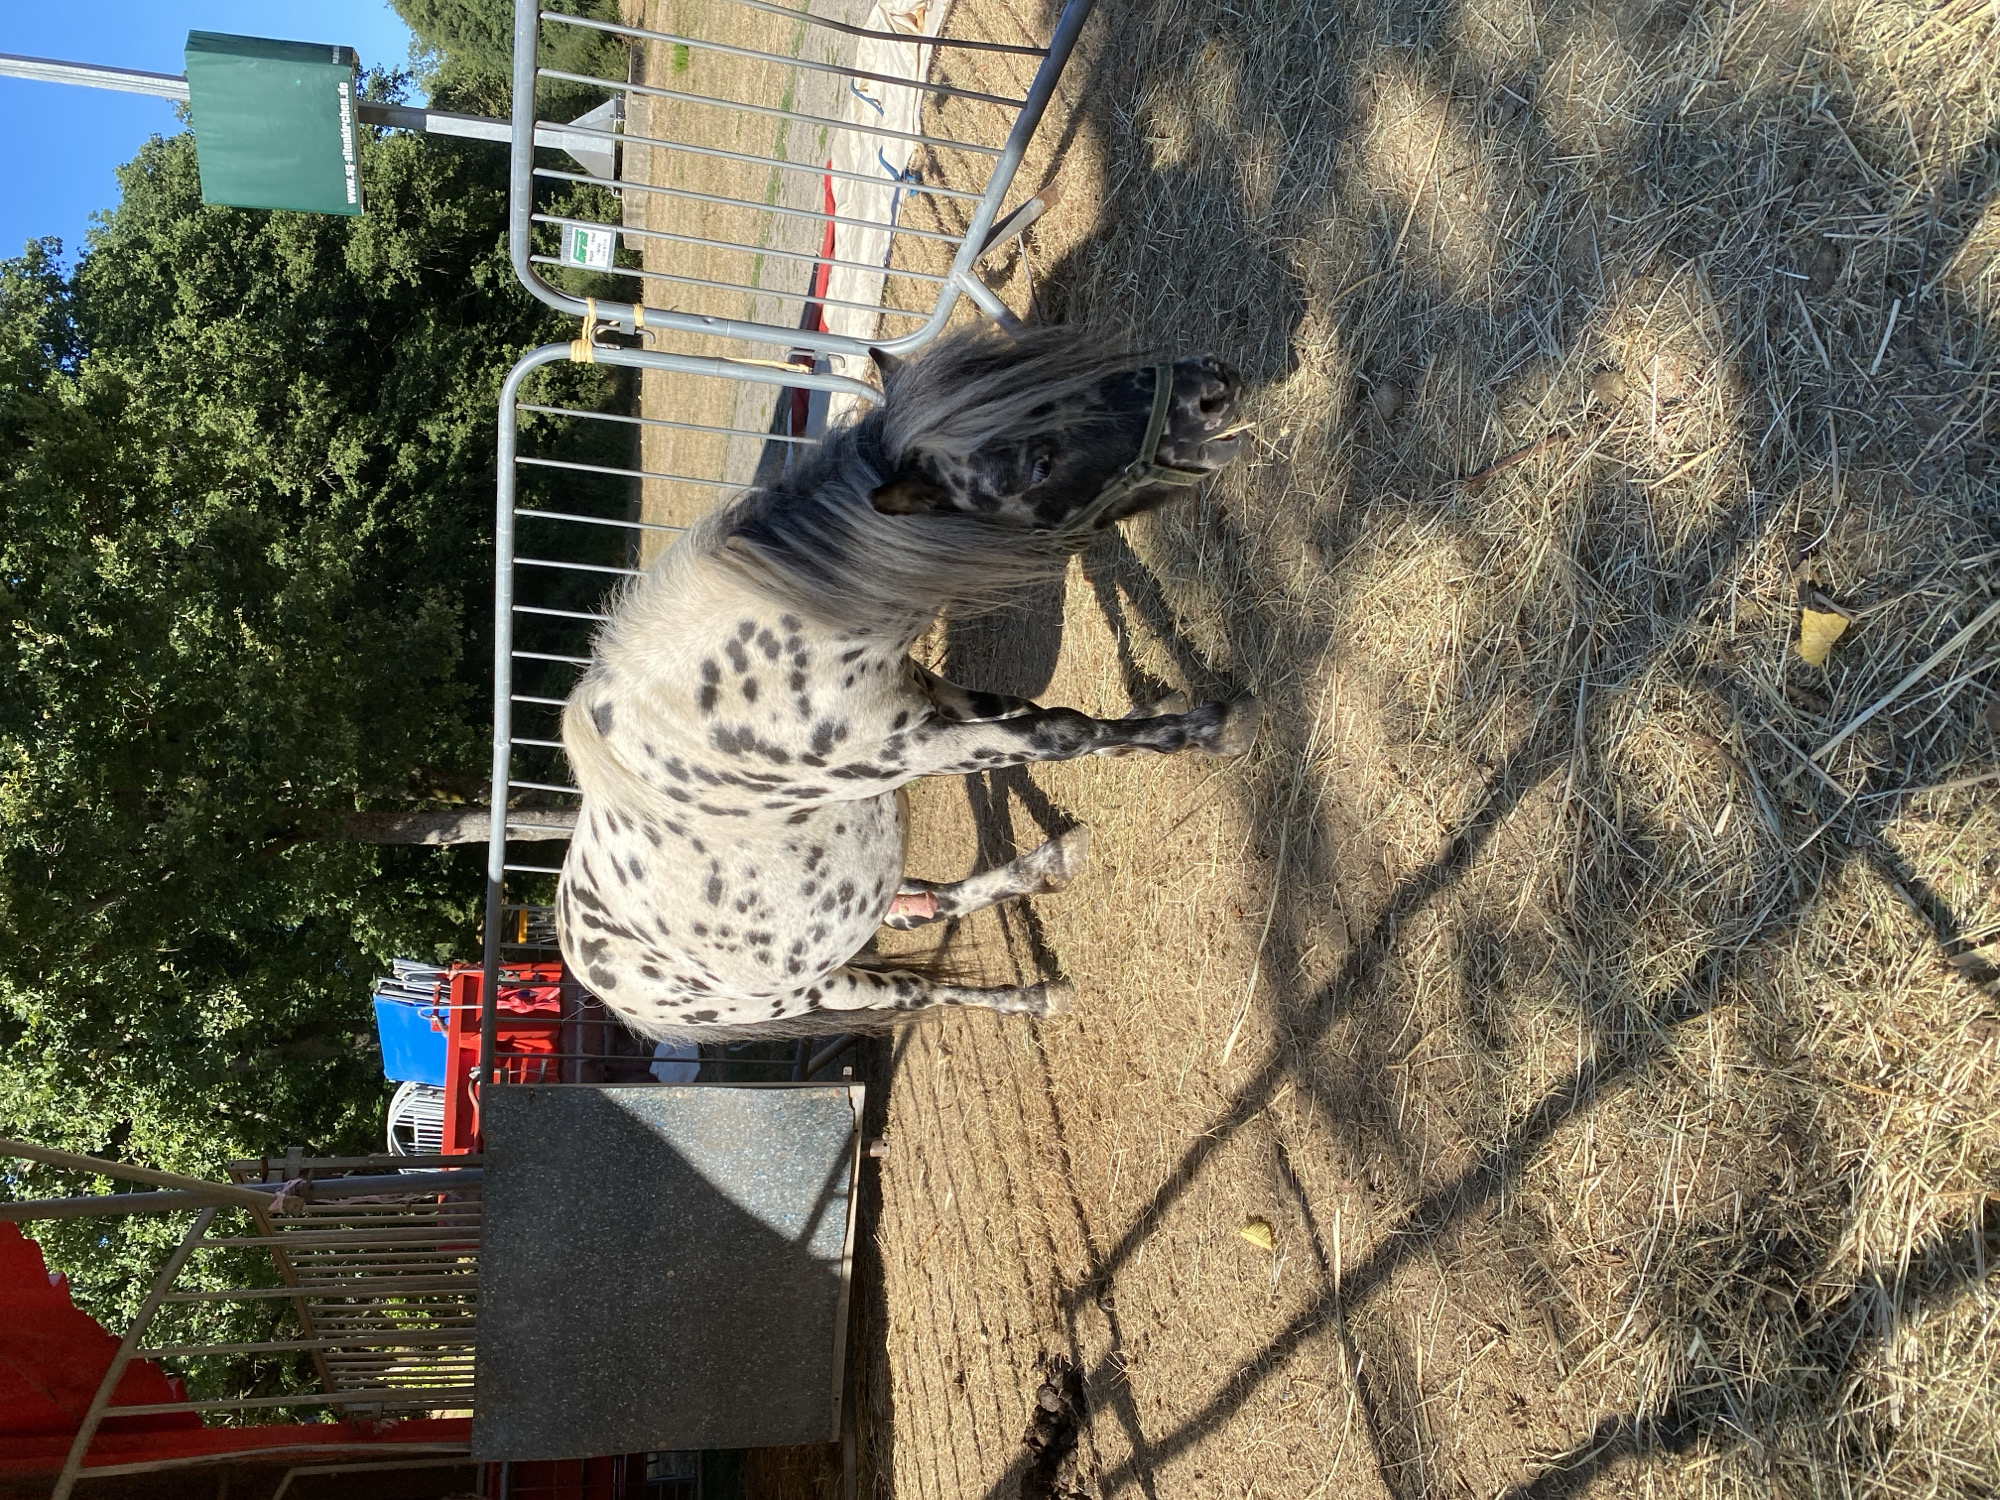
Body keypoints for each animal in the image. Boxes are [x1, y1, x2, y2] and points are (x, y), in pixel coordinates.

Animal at [555, 327, 1256, 1039]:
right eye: (1040, 465)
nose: (1212, 388)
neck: (754, 665)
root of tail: (597, 978)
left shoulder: (924, 690)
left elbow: (1023, 708)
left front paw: (1161, 714)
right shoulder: (911, 751)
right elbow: (1058, 731)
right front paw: (1213, 728)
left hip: (873, 902)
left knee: (927, 906)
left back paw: (1050, 864)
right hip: (823, 989)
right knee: (921, 992)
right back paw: (1034, 997)